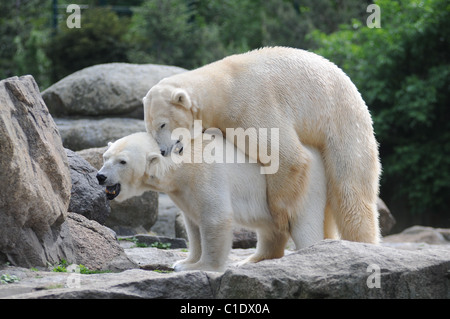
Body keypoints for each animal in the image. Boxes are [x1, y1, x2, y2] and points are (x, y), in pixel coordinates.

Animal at [96, 132, 326, 272]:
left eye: (122, 161)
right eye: (105, 157)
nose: (101, 176)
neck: (183, 162)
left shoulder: (207, 174)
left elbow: (215, 218)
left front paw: (199, 267)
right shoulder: (183, 190)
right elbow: (193, 224)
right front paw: (185, 261)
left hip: (301, 188)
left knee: (305, 226)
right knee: (271, 229)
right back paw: (250, 260)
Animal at [143, 46, 380, 244]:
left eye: (162, 124)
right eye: (150, 129)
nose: (163, 150)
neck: (223, 87)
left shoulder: (250, 105)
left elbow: (285, 155)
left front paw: (281, 216)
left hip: (343, 124)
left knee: (349, 190)